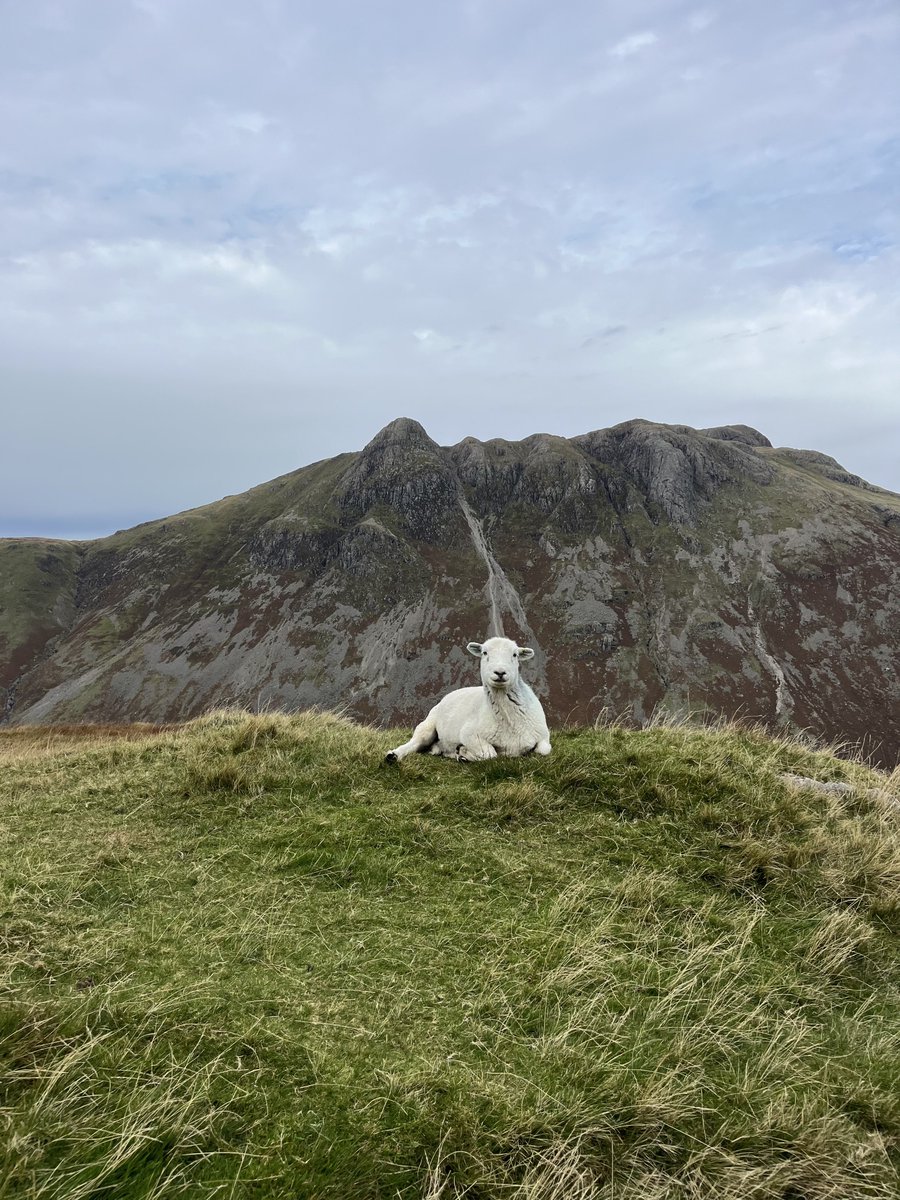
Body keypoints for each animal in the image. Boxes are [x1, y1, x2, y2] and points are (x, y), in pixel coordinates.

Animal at [385, 636, 552, 763]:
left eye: (515, 654)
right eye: (484, 653)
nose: (500, 672)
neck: (509, 721)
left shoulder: (544, 735)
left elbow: (544, 750)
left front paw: (462, 753)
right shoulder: (469, 734)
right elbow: (490, 754)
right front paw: (464, 752)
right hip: (428, 723)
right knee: (415, 743)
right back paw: (393, 755)